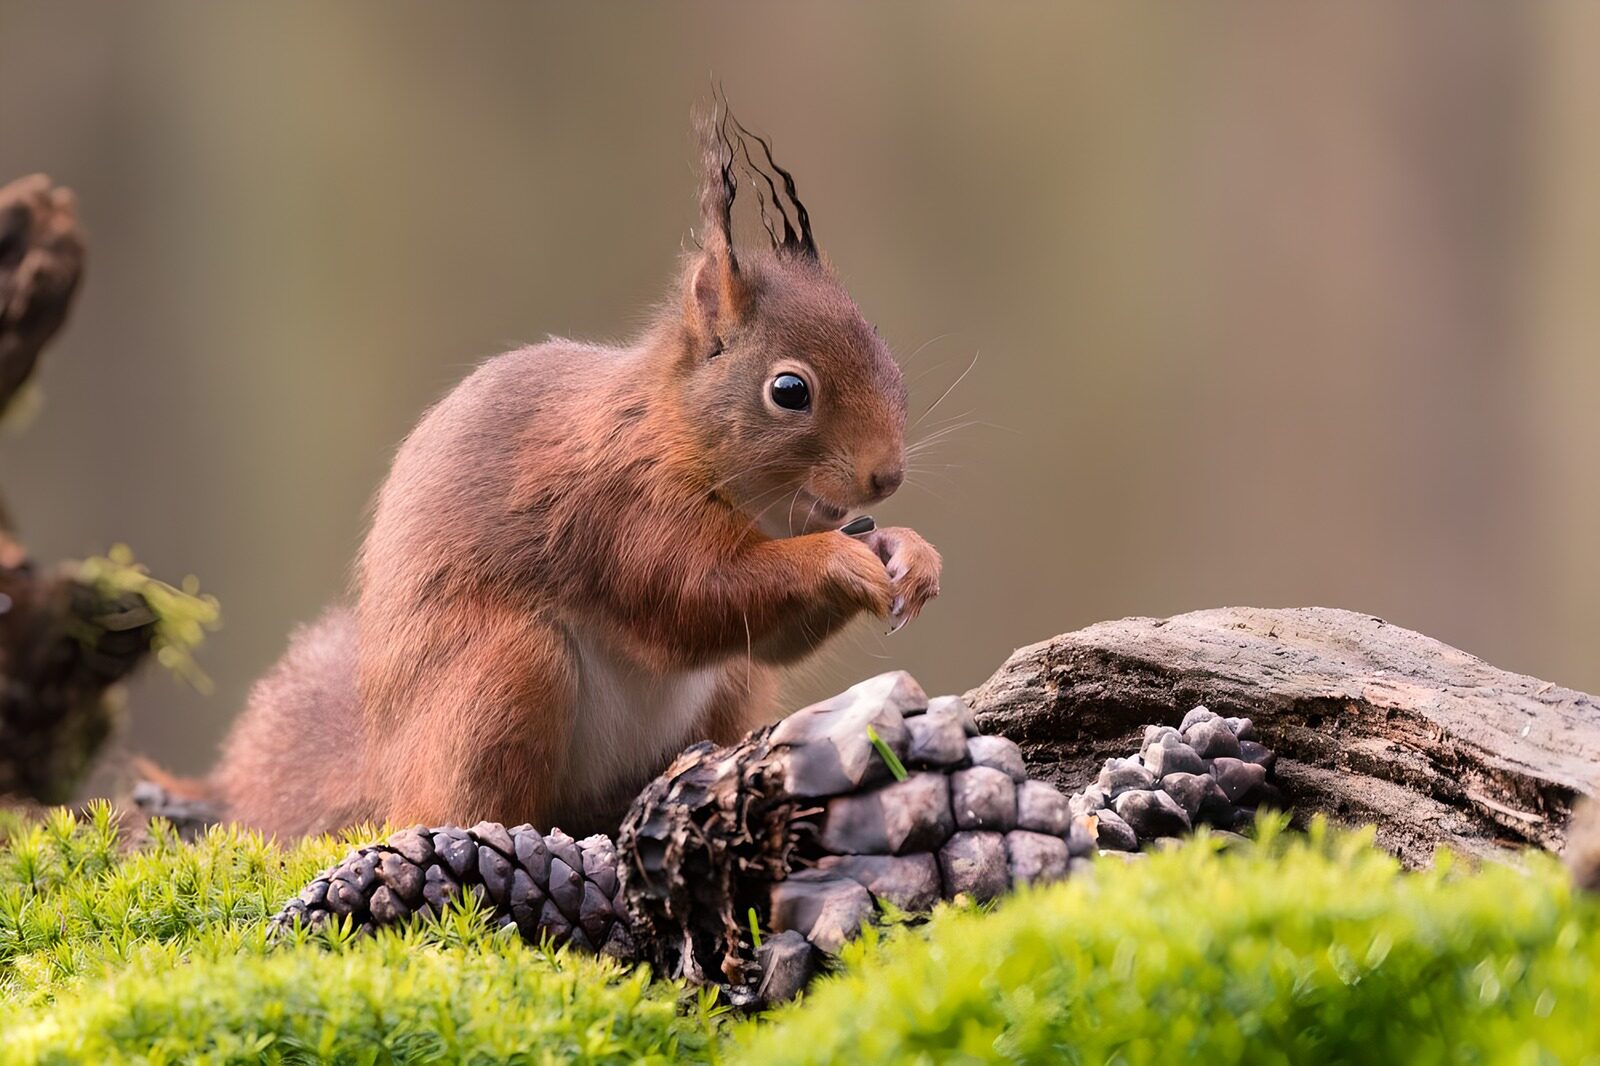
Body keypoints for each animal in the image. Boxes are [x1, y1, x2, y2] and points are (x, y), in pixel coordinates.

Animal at [206, 112, 942, 840]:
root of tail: (388, 769)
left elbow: (771, 639)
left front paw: (911, 553)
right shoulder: (623, 508)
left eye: (890, 362)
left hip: (728, 689)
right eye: (790, 390)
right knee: (466, 801)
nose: (887, 477)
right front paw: (838, 561)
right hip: (510, 672)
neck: (677, 434)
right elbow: (696, 593)